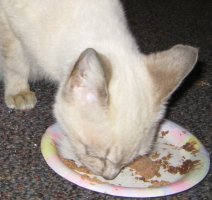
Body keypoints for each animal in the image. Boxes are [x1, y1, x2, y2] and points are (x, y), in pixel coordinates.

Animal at [0, 0, 199, 180]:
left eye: (131, 161)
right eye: (93, 155)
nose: (109, 178)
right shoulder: (8, 23)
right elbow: (16, 62)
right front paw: (19, 93)